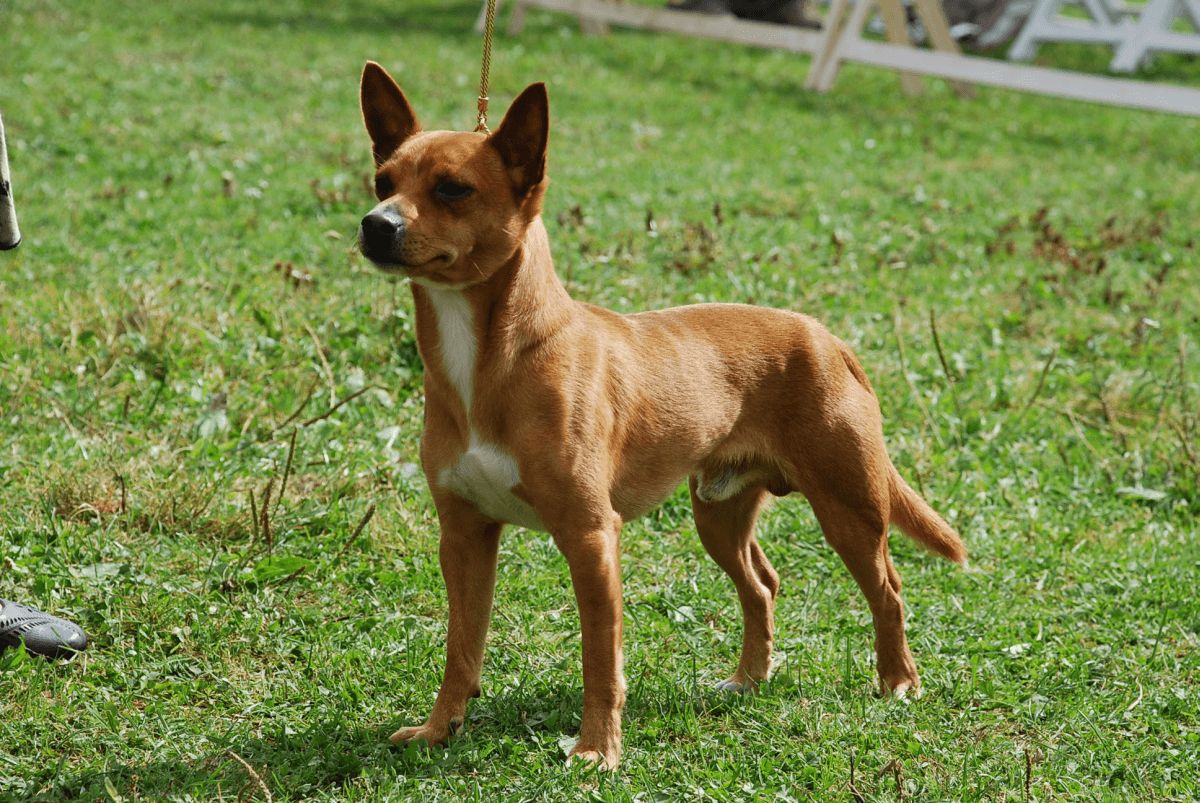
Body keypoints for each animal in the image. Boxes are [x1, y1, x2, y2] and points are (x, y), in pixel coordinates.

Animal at [356, 61, 966, 770]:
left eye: (453, 189)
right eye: (383, 182)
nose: (375, 224)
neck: (493, 359)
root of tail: (827, 338)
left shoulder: (591, 538)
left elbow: (600, 659)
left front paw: (597, 750)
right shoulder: (463, 536)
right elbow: (461, 648)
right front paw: (439, 730)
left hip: (850, 510)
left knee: (888, 591)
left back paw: (897, 681)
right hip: (718, 516)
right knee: (762, 586)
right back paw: (750, 678)